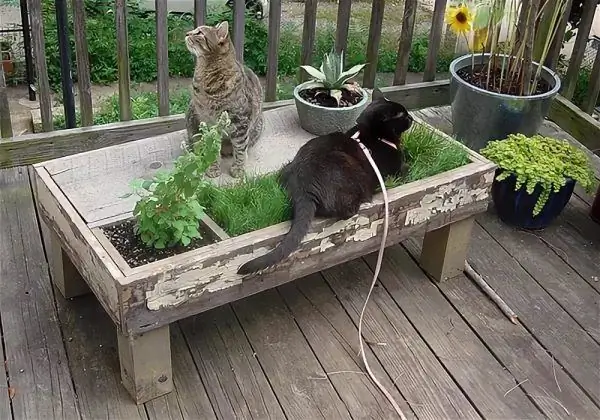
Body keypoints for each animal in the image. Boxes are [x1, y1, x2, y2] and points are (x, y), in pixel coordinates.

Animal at [184, 20, 262, 177]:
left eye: (199, 33)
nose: (187, 33)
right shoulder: (207, 122)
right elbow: (212, 147)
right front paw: (213, 167)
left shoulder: (240, 122)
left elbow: (240, 148)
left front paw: (238, 168)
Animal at [237, 96, 414, 274]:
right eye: (402, 115)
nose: (411, 117)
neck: (373, 135)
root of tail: (303, 188)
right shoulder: (395, 171)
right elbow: (407, 167)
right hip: (346, 166)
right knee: (347, 209)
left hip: (287, 166)